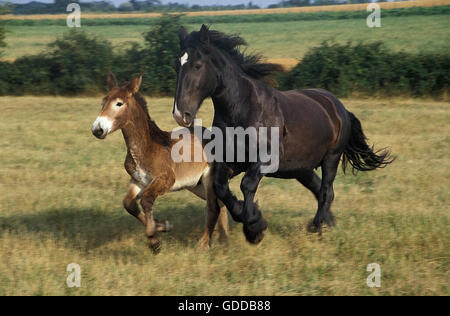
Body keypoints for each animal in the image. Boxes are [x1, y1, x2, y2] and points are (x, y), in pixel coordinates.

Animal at [90, 72, 229, 254]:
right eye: (103, 101)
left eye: (119, 103)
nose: (97, 129)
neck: (146, 147)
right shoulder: (138, 181)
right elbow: (129, 204)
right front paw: (161, 228)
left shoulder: (167, 179)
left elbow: (146, 200)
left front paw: (154, 237)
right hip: (196, 185)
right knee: (221, 203)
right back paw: (224, 240)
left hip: (208, 179)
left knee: (213, 207)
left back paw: (204, 245)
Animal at [172, 25, 394, 244]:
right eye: (177, 66)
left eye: (197, 65)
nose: (180, 114)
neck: (244, 109)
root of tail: (339, 108)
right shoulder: (230, 162)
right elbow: (221, 188)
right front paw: (252, 218)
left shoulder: (265, 160)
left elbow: (247, 185)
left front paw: (254, 227)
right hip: (302, 169)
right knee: (320, 190)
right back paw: (328, 224)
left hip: (331, 158)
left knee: (325, 191)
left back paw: (317, 227)